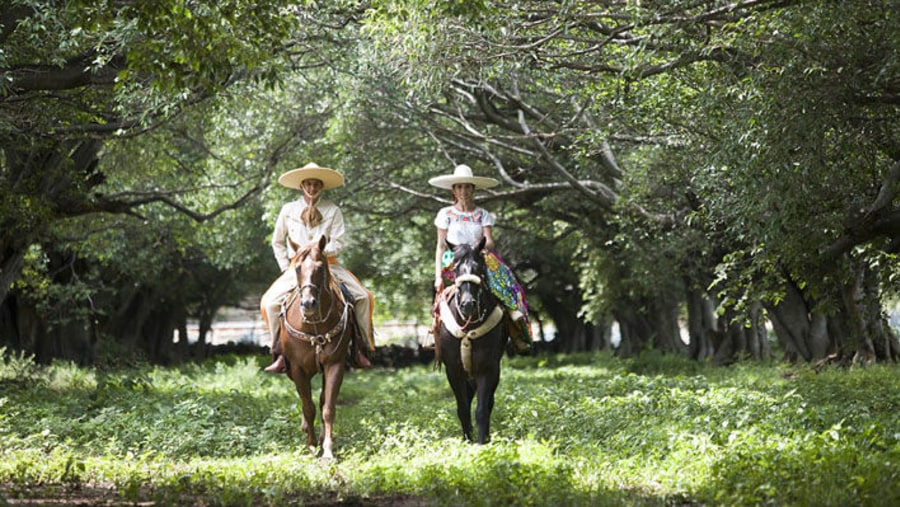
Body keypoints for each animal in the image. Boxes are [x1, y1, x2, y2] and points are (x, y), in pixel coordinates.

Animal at [280, 234, 356, 460]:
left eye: (321, 267)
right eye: (297, 268)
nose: (308, 304)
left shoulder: (335, 364)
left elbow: (327, 407)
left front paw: (327, 449)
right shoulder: (297, 369)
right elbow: (308, 407)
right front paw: (312, 445)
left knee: (322, 400)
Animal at [434, 238, 506, 444]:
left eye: (479, 267)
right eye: (456, 269)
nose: (467, 305)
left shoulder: (488, 369)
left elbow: (481, 409)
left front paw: (481, 442)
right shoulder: (453, 371)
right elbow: (463, 408)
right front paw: (467, 440)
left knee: (489, 402)